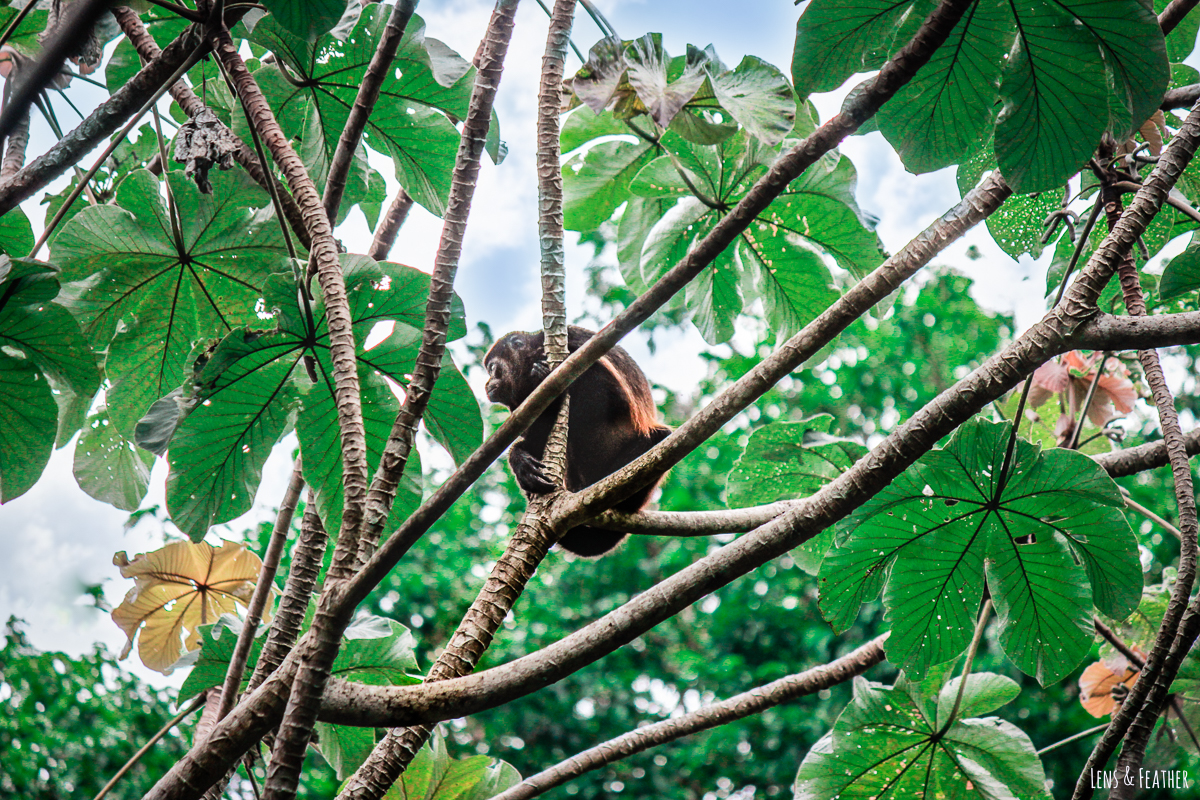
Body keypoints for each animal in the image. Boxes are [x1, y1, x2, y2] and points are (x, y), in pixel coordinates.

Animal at [487, 326, 676, 556]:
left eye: (492, 368)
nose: (487, 384)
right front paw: (521, 462)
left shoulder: (574, 343)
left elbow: (602, 390)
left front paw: (542, 379)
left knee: (659, 436)